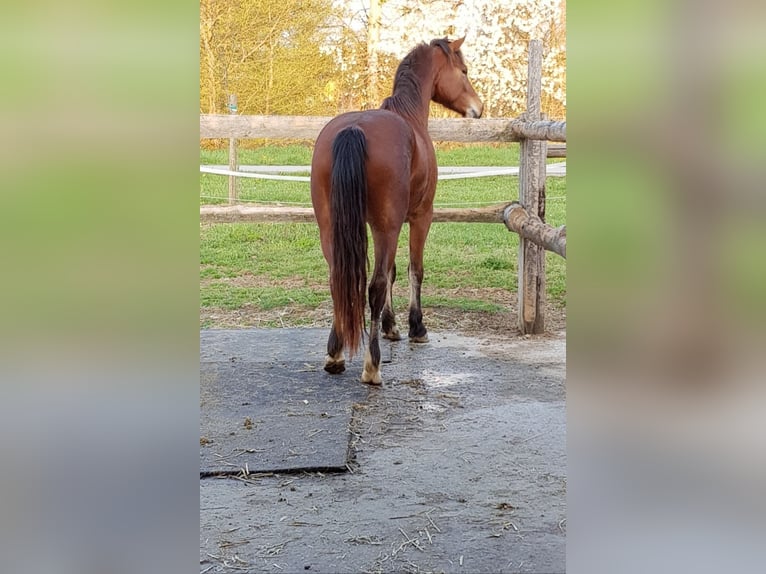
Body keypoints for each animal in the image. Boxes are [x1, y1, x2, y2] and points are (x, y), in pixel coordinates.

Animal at [308, 37, 484, 388]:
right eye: (464, 71)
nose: (478, 108)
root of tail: (354, 129)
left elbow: (390, 273)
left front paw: (391, 326)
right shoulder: (418, 218)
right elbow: (413, 270)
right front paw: (417, 327)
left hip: (332, 227)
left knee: (338, 279)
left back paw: (335, 354)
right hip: (386, 226)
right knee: (373, 287)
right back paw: (372, 366)